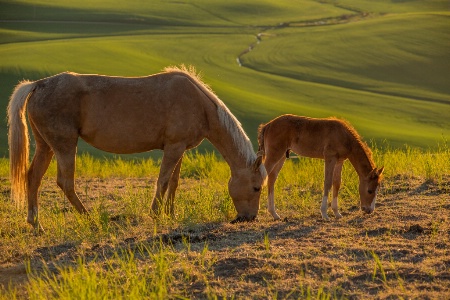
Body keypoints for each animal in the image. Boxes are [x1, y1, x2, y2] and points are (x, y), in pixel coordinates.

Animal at [7, 65, 266, 231]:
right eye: (256, 187)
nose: (248, 218)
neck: (198, 103)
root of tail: (39, 85)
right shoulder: (173, 147)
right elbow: (163, 180)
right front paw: (156, 214)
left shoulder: (179, 148)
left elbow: (174, 182)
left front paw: (171, 214)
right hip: (65, 146)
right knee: (65, 183)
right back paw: (90, 220)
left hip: (46, 146)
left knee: (33, 178)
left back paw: (36, 225)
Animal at [256, 114, 384, 220]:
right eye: (370, 190)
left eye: (378, 189)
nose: (369, 210)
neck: (343, 135)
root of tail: (267, 126)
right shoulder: (330, 157)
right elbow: (328, 182)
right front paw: (324, 214)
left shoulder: (339, 161)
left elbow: (337, 183)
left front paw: (337, 213)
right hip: (275, 154)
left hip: (282, 155)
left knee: (271, 178)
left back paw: (274, 214)